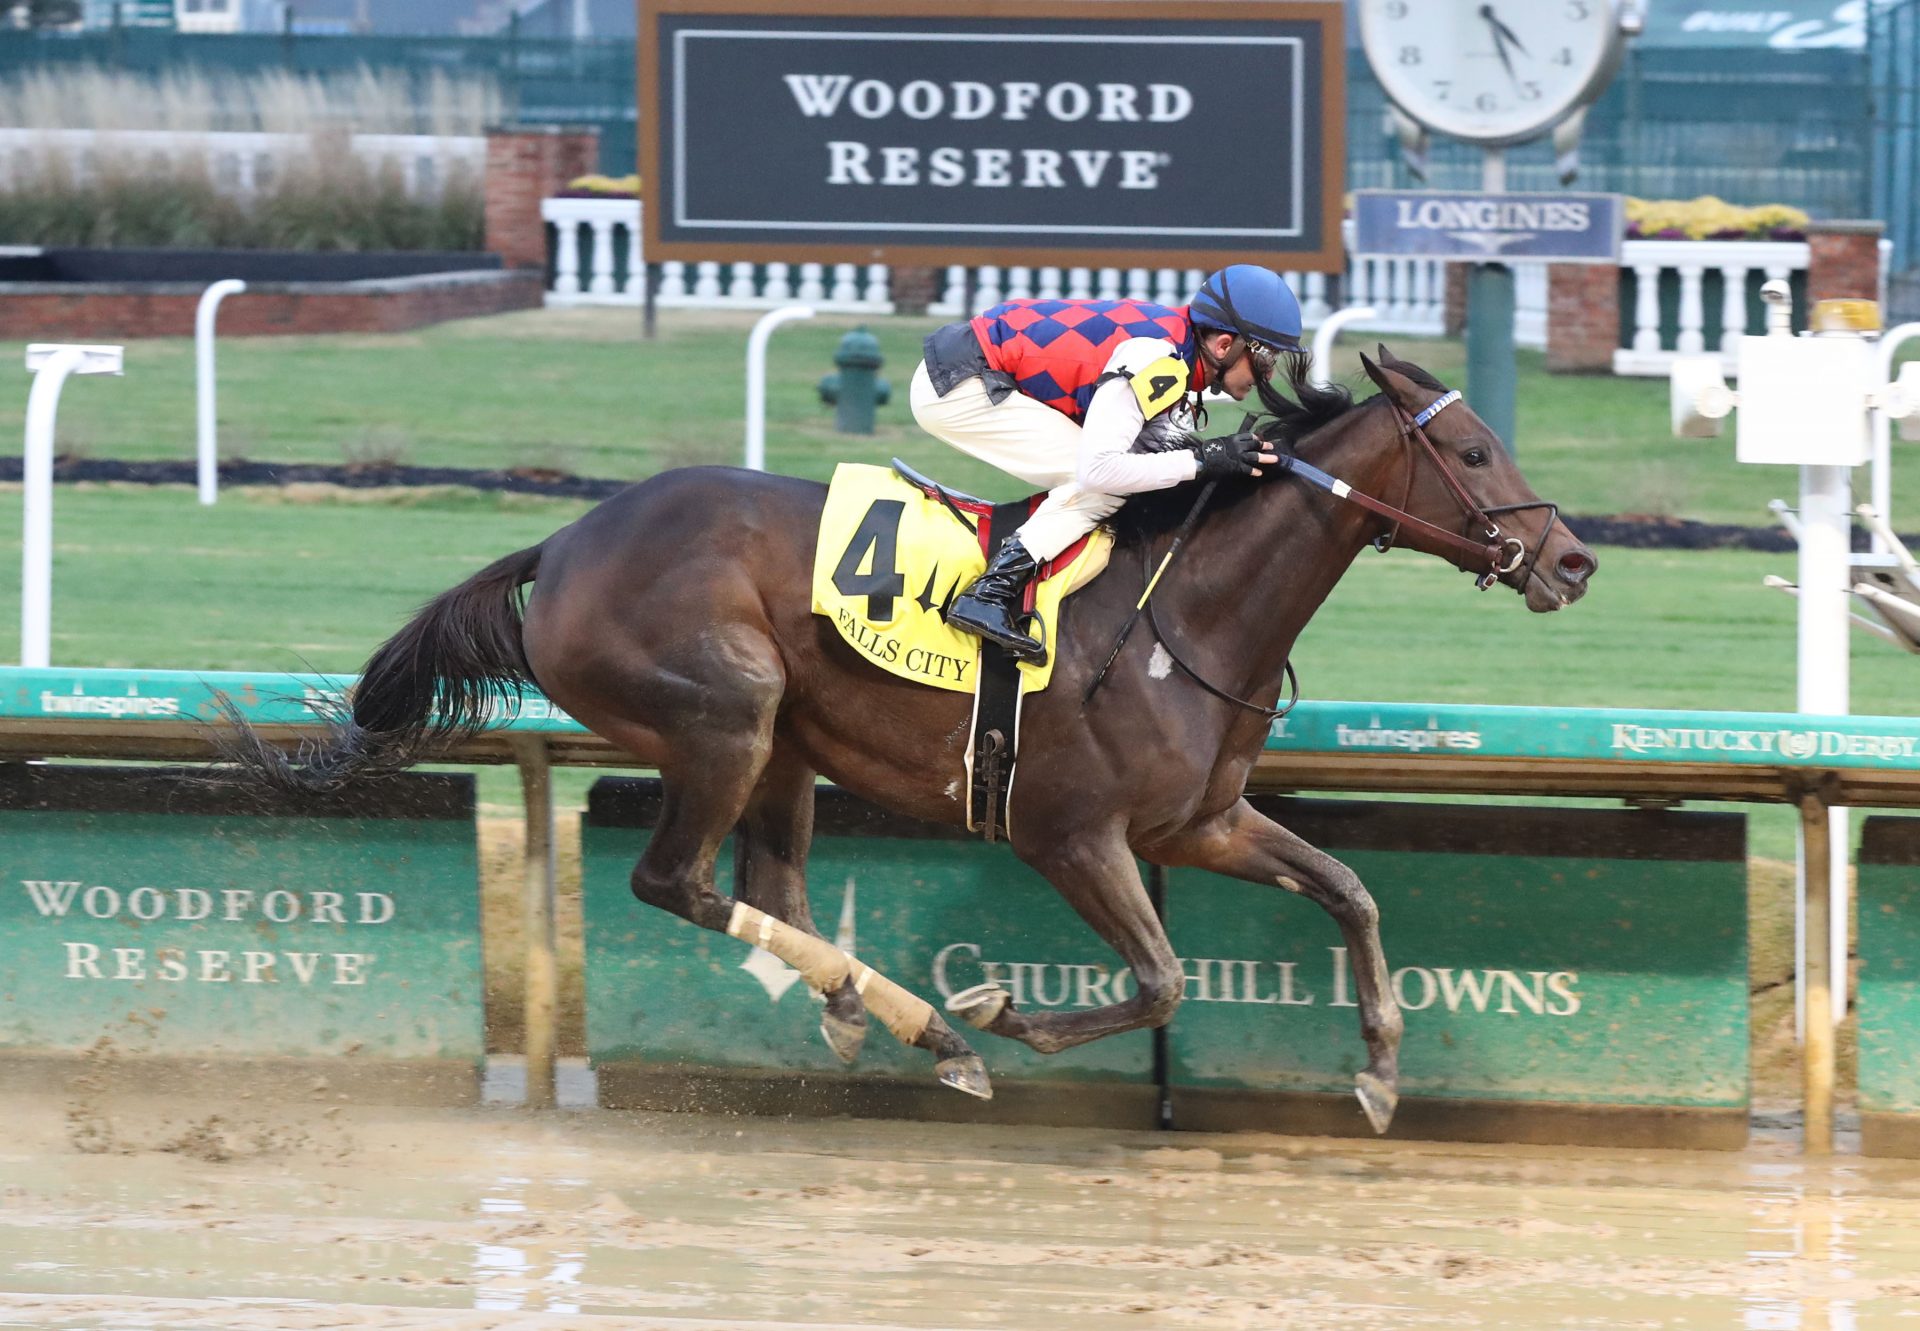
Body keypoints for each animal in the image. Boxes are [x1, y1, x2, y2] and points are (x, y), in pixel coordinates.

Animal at [232, 347, 1597, 1129]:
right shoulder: (1068, 834)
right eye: (1473, 448)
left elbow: (1351, 889)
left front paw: (1380, 1068)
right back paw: (935, 1027)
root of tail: (565, 541)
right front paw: (1000, 1010)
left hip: (784, 740)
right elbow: (1160, 978)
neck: (1187, 613)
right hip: (724, 713)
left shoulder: (1197, 822)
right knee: (674, 880)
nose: (1576, 560)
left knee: (768, 886)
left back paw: (868, 1012)